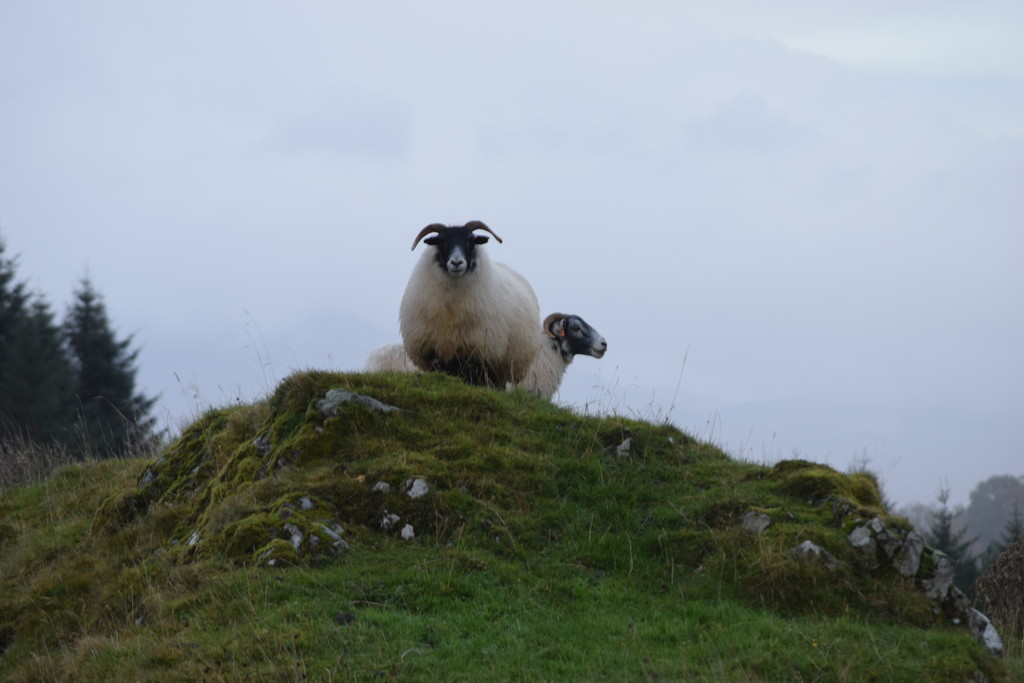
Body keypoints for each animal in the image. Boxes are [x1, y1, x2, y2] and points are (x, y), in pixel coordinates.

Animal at [397, 222, 544, 387]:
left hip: (501, 368)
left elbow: (470, 378)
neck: (451, 309)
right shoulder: (433, 349)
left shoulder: (475, 351)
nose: (456, 262)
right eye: (441, 241)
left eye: (471, 241)